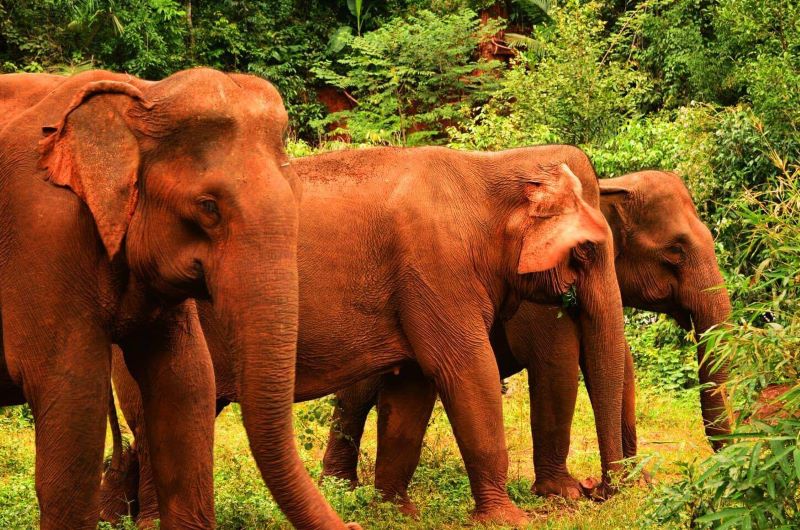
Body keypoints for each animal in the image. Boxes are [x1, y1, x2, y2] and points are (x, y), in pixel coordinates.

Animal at [0, 69, 353, 529]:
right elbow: (72, 398)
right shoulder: (42, 233)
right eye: (208, 207)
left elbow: (185, 382)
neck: (140, 97)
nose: (354, 524)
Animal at [101, 144, 629, 526]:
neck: (490, 170)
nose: (596, 490)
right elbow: (465, 371)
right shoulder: (438, 268)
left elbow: (411, 392)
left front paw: (398, 512)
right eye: (586, 251)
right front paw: (510, 519)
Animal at [319, 170, 733, 512]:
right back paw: (340, 488)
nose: (598, 488)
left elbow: (620, 367)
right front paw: (564, 493)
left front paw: (637, 484)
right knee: (357, 396)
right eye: (675, 251)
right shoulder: (539, 300)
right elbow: (558, 365)